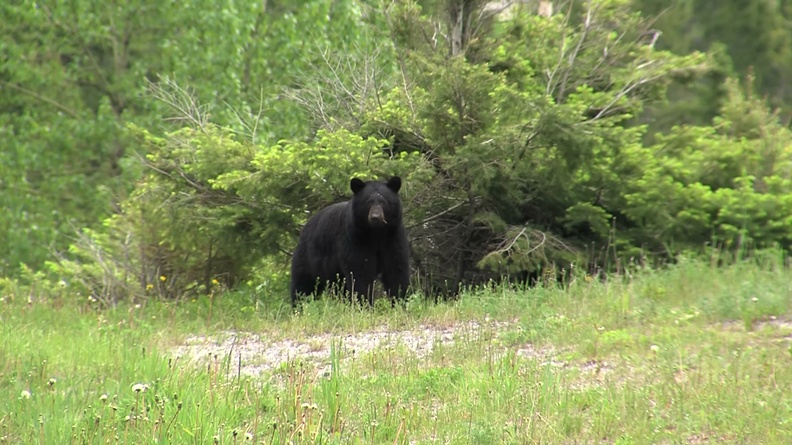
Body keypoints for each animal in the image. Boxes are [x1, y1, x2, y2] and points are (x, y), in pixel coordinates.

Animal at [290, 176, 411, 308]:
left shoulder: (393, 237)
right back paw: (300, 306)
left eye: (383, 201)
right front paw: (364, 305)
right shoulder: (355, 238)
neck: (376, 233)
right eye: (368, 202)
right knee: (303, 285)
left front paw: (400, 303)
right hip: (308, 258)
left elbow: (395, 270)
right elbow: (360, 272)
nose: (375, 217)